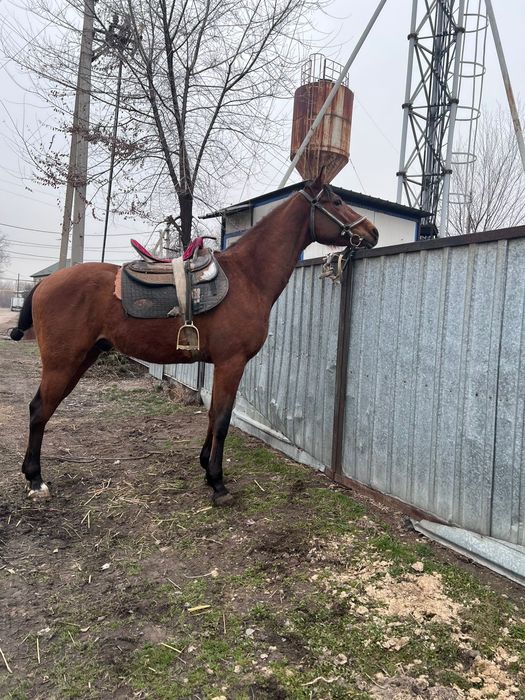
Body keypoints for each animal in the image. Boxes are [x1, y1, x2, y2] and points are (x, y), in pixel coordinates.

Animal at [10, 172, 378, 505]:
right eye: (336, 202)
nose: (372, 232)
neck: (248, 277)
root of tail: (44, 284)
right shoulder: (232, 363)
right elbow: (223, 419)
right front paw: (218, 483)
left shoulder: (220, 364)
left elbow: (213, 412)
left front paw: (205, 468)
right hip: (62, 363)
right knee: (39, 409)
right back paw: (35, 479)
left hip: (81, 358)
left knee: (44, 408)